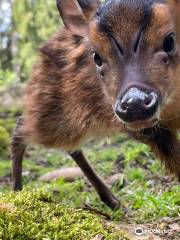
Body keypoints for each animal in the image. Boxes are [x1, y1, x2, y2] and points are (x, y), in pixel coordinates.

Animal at [10, 0, 180, 209]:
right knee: (21, 127)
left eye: (170, 41)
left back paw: (112, 201)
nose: (134, 104)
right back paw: (16, 193)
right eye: (96, 57)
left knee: (71, 147)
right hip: (55, 112)